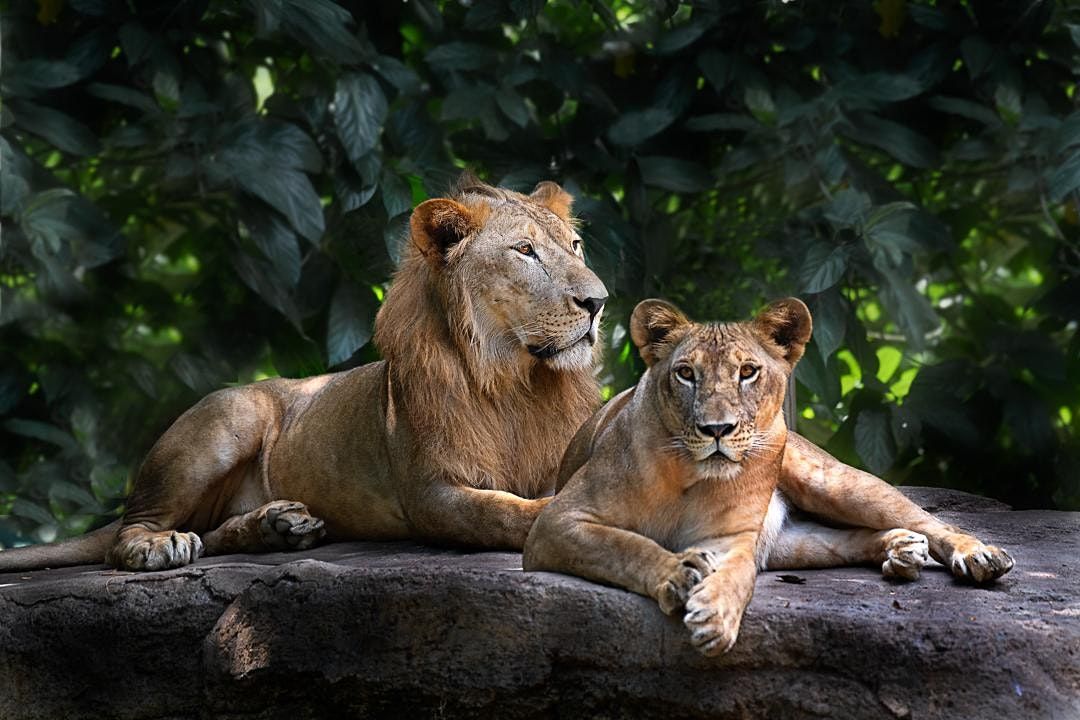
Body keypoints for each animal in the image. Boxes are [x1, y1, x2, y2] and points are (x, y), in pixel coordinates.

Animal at [0, 177, 609, 569]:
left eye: (576, 246)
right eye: (525, 251)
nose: (599, 302)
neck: (514, 380)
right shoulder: (432, 493)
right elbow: (500, 511)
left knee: (211, 534)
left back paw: (278, 527)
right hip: (226, 419)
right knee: (125, 534)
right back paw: (160, 545)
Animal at [522, 295, 1010, 656]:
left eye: (747, 372)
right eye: (686, 374)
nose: (716, 429)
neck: (687, 475)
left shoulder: (731, 538)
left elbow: (737, 577)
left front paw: (716, 617)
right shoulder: (558, 521)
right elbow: (627, 545)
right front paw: (679, 574)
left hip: (831, 482)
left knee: (926, 519)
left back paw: (977, 555)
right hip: (794, 545)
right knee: (848, 539)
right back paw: (901, 551)